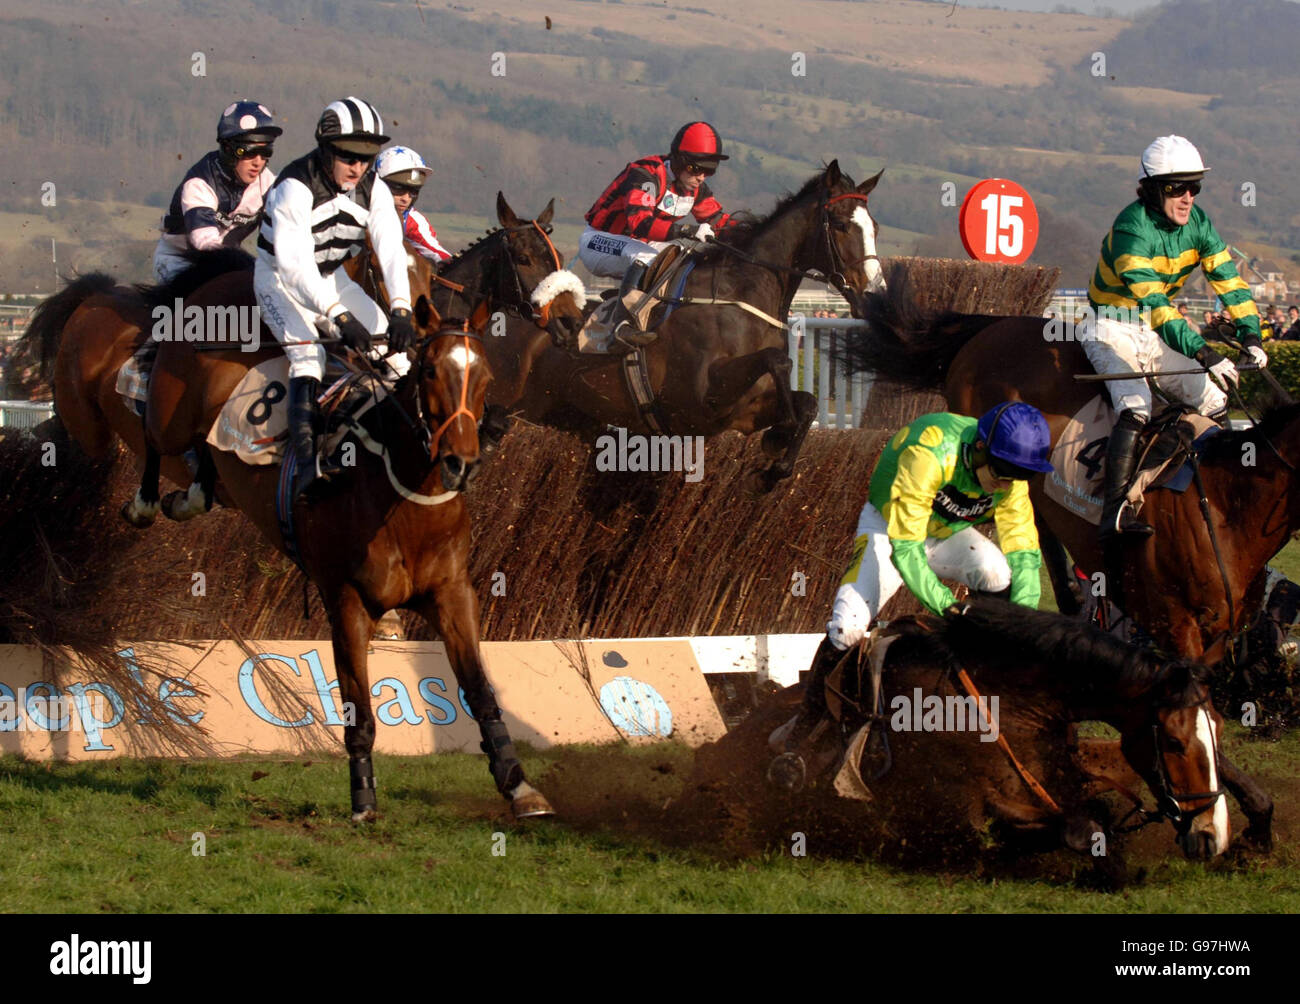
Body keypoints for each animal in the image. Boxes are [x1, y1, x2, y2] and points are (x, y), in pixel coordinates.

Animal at [486, 159, 883, 488]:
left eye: (875, 227)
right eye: (842, 224)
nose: (874, 293)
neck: (739, 293)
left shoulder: (745, 411)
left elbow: (809, 403)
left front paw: (777, 459)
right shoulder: (703, 400)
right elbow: (777, 359)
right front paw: (781, 432)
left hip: (567, 415)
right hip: (516, 405)